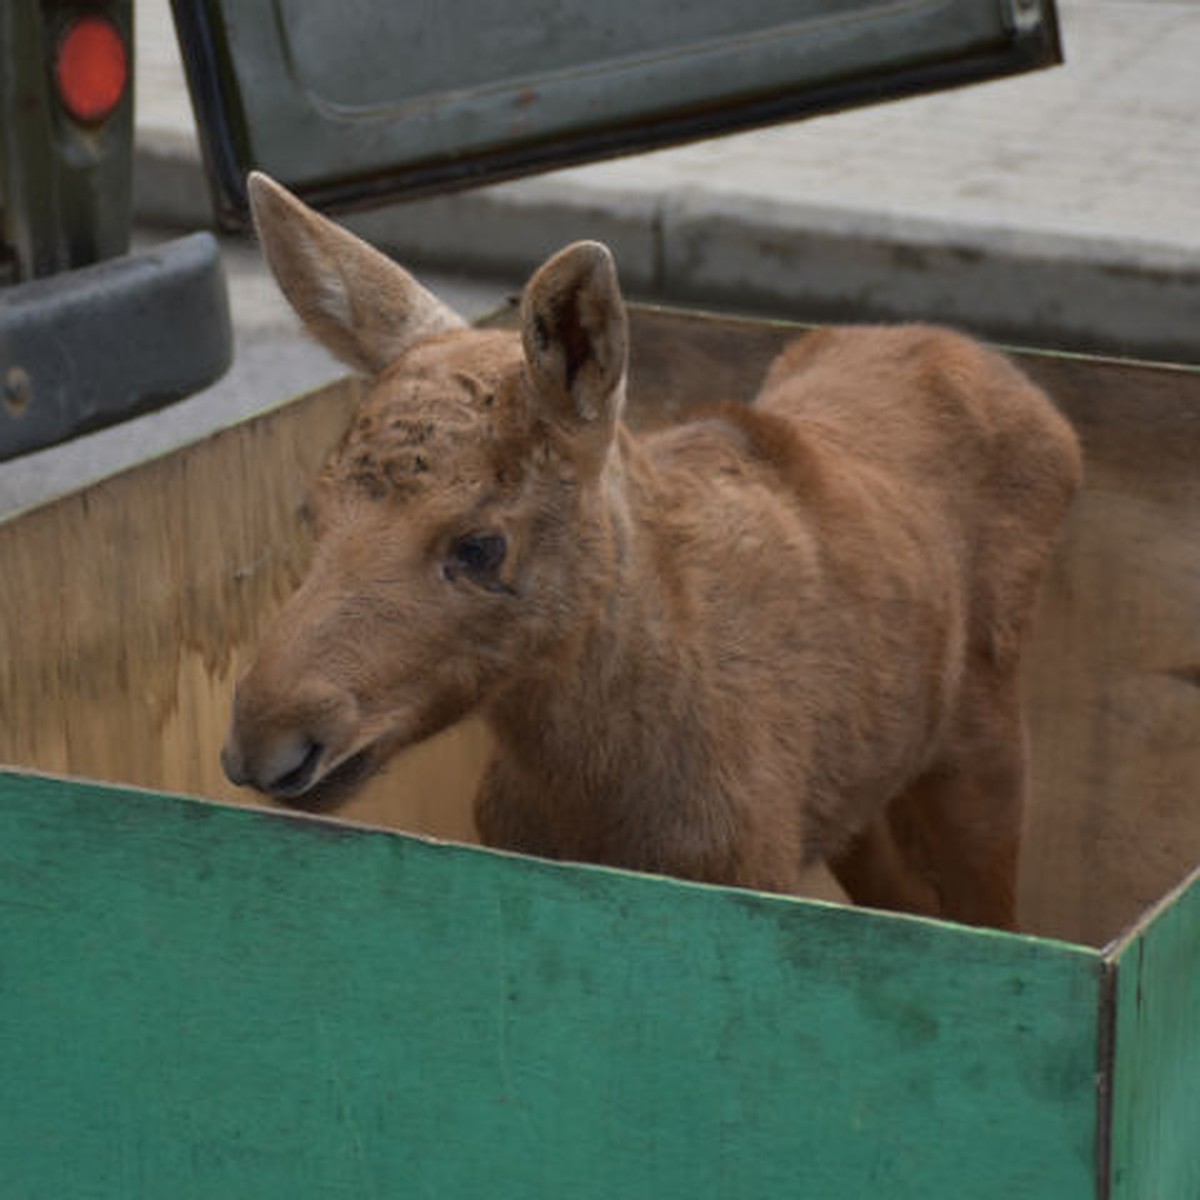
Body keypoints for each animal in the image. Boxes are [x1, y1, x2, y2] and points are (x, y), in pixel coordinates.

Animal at [223, 174, 1080, 931]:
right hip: (866, 783)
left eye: (480, 544)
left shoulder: (753, 870)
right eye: (312, 507)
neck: (597, 801)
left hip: (984, 743)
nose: (265, 742)